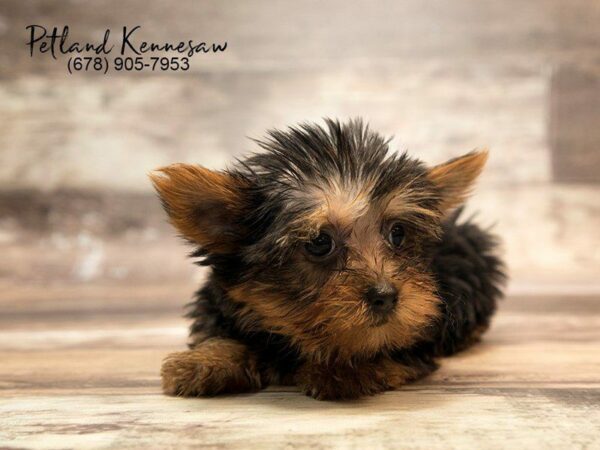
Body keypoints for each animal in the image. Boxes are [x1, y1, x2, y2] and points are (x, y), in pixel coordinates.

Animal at [151, 118, 506, 400]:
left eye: (398, 233)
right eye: (320, 242)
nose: (385, 296)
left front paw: (345, 366)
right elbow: (222, 333)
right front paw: (204, 361)